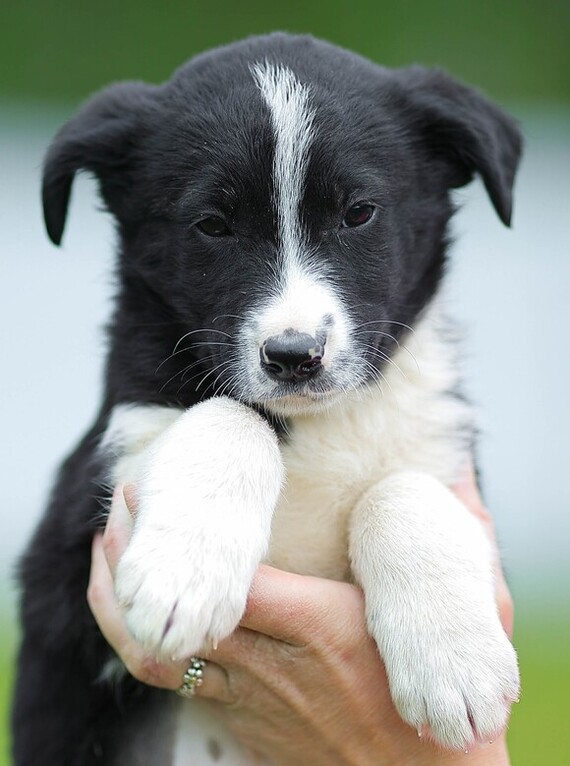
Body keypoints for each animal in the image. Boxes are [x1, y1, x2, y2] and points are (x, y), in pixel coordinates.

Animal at [12, 34, 520, 766]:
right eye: (212, 225)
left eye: (358, 213)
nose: (294, 356)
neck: (317, 426)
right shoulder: (76, 548)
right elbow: (227, 415)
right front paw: (182, 578)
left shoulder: (442, 451)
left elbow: (401, 487)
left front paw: (457, 665)